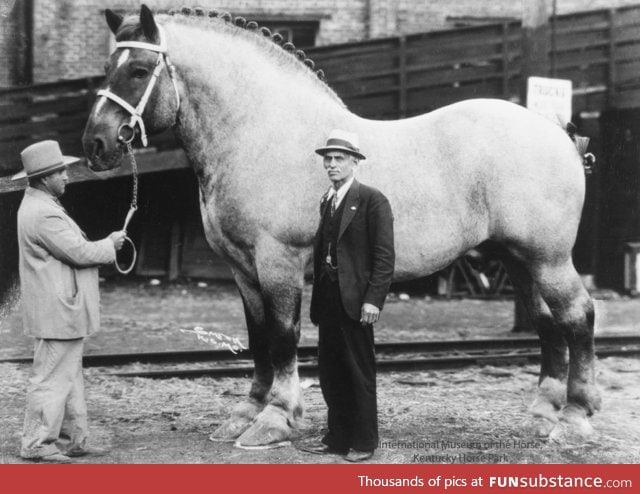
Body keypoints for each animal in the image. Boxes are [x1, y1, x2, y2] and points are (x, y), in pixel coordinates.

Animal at [81, 6, 600, 448]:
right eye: (108, 67)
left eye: (139, 70)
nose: (96, 144)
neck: (261, 132)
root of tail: (557, 132)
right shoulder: (243, 269)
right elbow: (257, 337)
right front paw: (246, 413)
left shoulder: (278, 261)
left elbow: (282, 337)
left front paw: (276, 419)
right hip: (518, 259)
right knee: (547, 323)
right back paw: (542, 414)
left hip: (548, 259)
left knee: (577, 316)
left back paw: (575, 418)